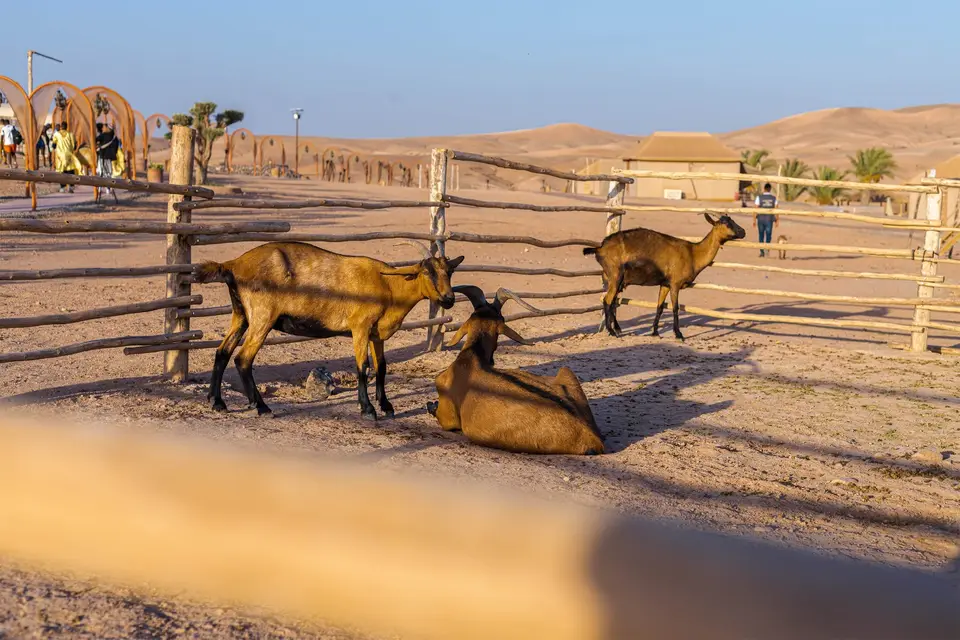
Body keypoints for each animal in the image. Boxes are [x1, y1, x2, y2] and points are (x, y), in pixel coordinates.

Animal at [194, 240, 464, 420]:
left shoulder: (376, 334)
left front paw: (386, 405)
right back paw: (260, 407)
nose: (449, 299)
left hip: (241, 315)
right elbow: (363, 367)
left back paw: (217, 402)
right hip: (262, 317)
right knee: (243, 358)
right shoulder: (360, 327)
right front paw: (368, 409)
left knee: (222, 352)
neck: (388, 284)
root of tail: (233, 264)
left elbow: (382, 367)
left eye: (450, 271)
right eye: (427, 271)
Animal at [427, 286, 604, 455]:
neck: (472, 356)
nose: (491, 361)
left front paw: (431, 404)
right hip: (566, 371)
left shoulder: (449, 417)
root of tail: (591, 438)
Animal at [583, 213, 745, 340]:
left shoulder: (665, 284)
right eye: (725, 223)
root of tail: (599, 248)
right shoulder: (675, 283)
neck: (693, 253)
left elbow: (660, 307)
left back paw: (617, 328)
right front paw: (679, 334)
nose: (743, 231)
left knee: (611, 301)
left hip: (613, 280)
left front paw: (655, 332)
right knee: (607, 300)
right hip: (615, 276)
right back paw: (612, 331)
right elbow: (675, 308)